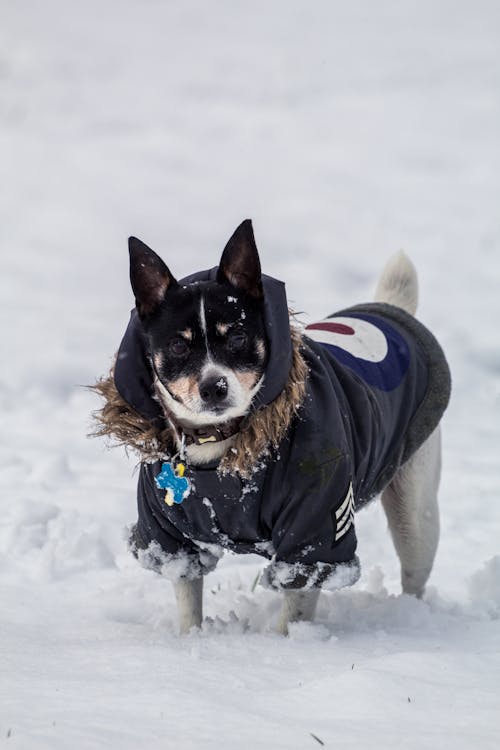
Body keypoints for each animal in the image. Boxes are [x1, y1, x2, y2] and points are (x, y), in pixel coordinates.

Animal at [92, 222, 452, 636]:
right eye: (179, 347)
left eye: (237, 337)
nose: (213, 386)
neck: (222, 449)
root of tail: (391, 311)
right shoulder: (170, 535)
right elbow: (188, 596)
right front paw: (190, 638)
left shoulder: (315, 529)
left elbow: (296, 602)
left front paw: (283, 646)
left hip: (415, 508)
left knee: (415, 567)